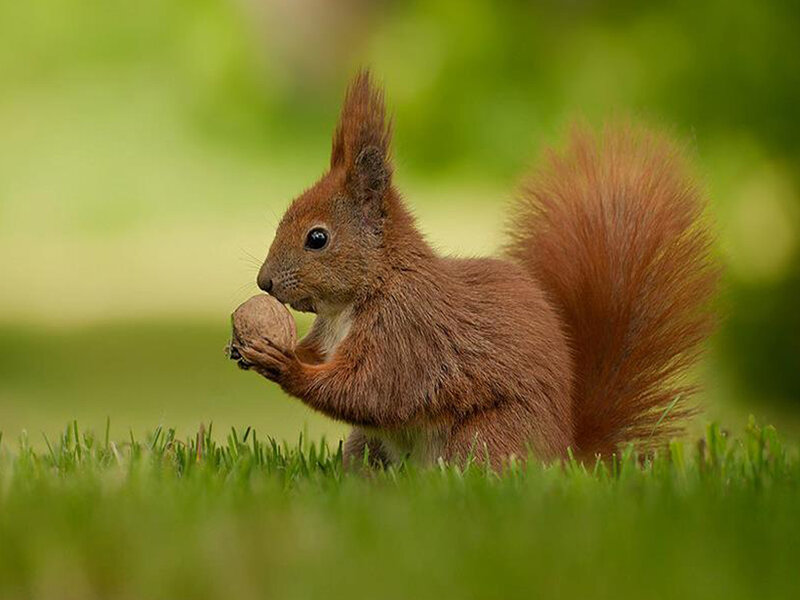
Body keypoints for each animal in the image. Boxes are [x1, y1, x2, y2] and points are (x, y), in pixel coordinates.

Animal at [238, 70, 719, 468]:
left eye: (317, 238)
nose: (265, 281)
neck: (363, 293)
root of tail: (565, 454)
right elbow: (328, 364)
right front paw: (254, 348)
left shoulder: (408, 334)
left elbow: (370, 391)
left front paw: (284, 365)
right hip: (368, 446)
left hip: (484, 437)